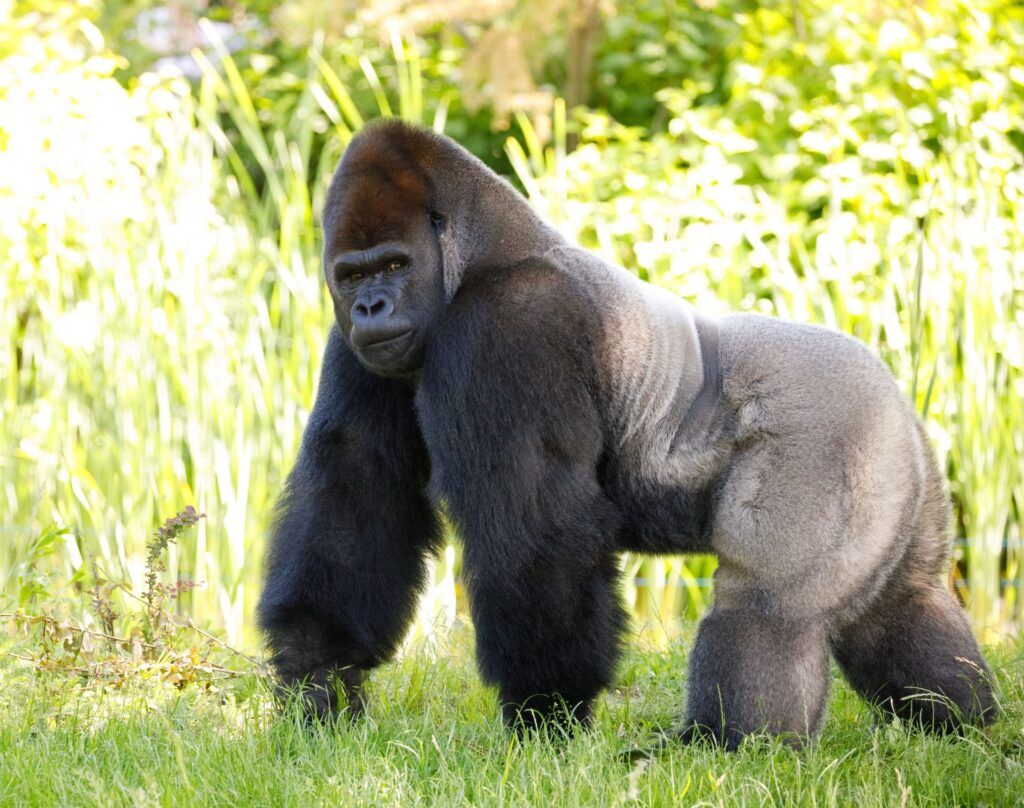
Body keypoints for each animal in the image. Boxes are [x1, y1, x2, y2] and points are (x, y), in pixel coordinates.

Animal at [253, 118, 991, 745]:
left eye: (395, 265)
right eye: (353, 274)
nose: (371, 307)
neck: (484, 250)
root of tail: (894, 393)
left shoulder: (510, 327)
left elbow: (534, 528)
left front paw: (546, 709)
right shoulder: (359, 347)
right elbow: (356, 490)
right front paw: (319, 671)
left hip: (833, 436)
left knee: (768, 607)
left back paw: (731, 746)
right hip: (896, 464)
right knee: (900, 605)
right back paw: (958, 721)